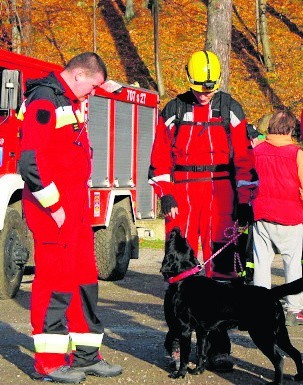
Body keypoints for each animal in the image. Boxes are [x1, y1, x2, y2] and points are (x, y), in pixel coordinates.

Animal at [163, 226, 303, 382]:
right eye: (185, 241)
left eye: (173, 240)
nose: (176, 229)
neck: (185, 278)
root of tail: (270, 292)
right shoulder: (202, 331)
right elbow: (201, 353)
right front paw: (197, 370)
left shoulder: (185, 329)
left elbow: (184, 357)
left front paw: (180, 373)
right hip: (280, 333)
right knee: (296, 353)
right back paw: (299, 376)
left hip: (262, 334)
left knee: (279, 360)